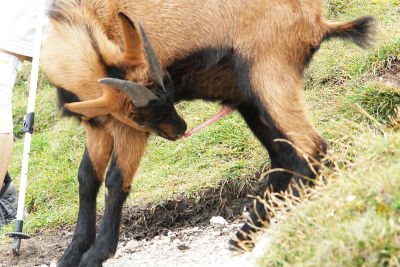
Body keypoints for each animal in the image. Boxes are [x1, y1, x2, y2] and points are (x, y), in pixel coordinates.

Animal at [40, 1, 376, 266]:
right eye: (148, 106)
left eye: (168, 88)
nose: (181, 129)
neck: (90, 22)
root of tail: (317, 20)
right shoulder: (99, 124)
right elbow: (86, 179)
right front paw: (71, 254)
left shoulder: (128, 129)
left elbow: (115, 182)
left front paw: (96, 255)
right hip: (250, 97)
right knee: (284, 154)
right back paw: (244, 237)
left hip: (269, 76)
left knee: (310, 147)